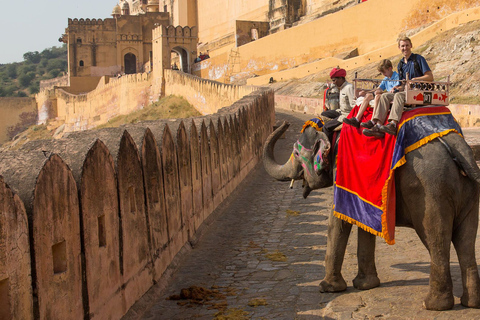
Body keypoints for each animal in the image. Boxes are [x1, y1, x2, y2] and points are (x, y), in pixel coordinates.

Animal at [264, 120, 480, 310]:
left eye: (296, 153)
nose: (284, 123)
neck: (332, 128)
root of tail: (458, 148)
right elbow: (363, 221)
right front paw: (366, 285)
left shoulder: (340, 169)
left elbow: (338, 220)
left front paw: (327, 288)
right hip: (467, 192)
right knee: (465, 242)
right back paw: (470, 303)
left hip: (431, 191)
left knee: (437, 240)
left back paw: (434, 305)